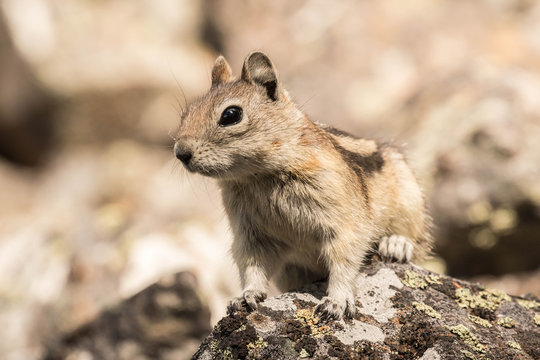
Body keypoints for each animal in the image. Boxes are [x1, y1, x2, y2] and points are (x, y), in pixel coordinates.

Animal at [173, 51, 430, 320]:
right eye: (186, 113)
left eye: (231, 115)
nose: (180, 153)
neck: (260, 177)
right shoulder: (250, 233)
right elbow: (252, 263)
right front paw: (246, 295)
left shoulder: (344, 220)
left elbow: (344, 258)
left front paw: (336, 302)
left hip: (410, 202)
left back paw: (396, 244)